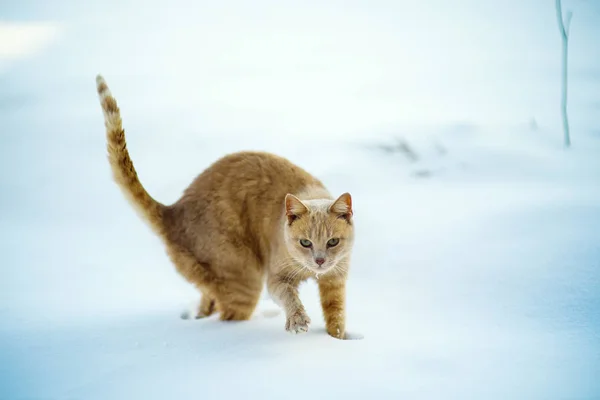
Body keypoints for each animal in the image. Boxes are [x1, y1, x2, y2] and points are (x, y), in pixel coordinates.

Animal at [96, 74, 354, 338]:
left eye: (333, 242)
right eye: (305, 243)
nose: (320, 260)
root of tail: (173, 212)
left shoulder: (336, 279)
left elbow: (336, 315)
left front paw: (336, 339)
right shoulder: (276, 277)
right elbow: (289, 296)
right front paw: (298, 320)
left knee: (208, 300)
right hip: (244, 276)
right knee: (227, 317)